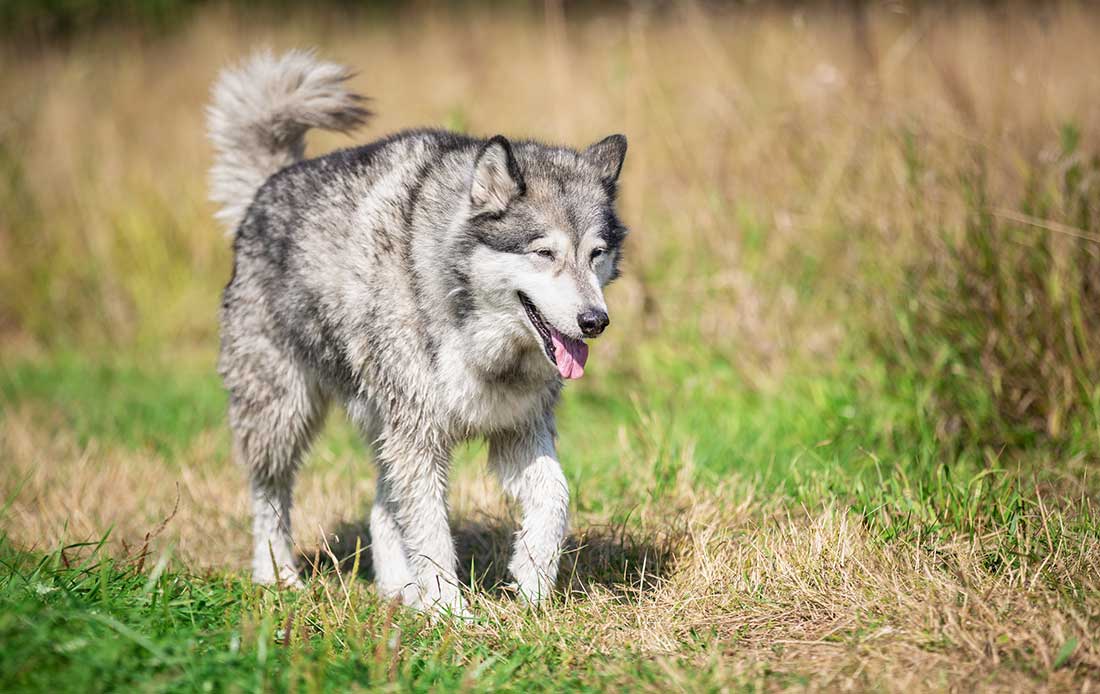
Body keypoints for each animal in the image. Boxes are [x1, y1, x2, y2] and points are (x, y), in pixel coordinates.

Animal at [206, 48, 633, 615]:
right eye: (544, 253)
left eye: (596, 253)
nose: (595, 322)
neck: (475, 334)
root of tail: (265, 187)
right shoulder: (421, 437)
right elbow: (431, 532)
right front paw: (452, 612)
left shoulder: (516, 431)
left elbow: (555, 497)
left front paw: (533, 583)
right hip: (285, 412)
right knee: (270, 496)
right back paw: (278, 577)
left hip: (382, 423)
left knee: (382, 508)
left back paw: (399, 591)